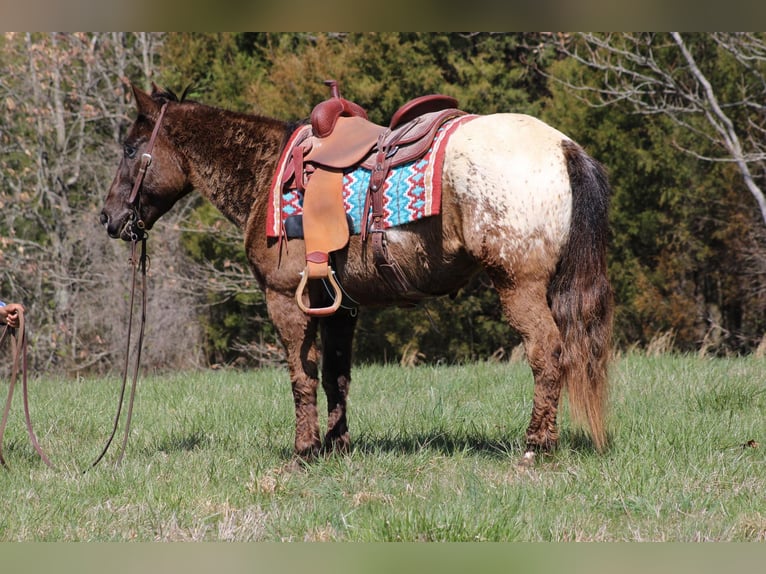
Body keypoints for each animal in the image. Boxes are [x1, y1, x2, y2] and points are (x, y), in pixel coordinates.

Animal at [100, 83, 616, 466]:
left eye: (129, 149)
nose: (108, 217)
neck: (265, 173)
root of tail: (562, 146)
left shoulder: (285, 299)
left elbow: (301, 376)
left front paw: (304, 451)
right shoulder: (339, 305)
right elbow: (336, 376)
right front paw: (336, 446)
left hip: (518, 284)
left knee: (547, 353)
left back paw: (536, 446)